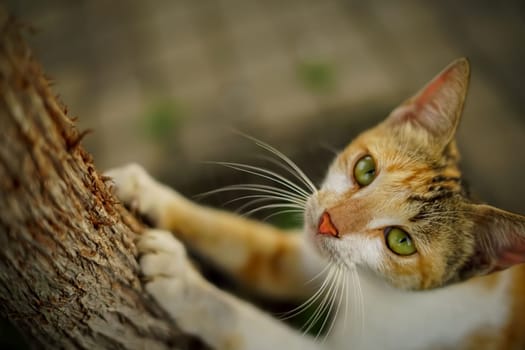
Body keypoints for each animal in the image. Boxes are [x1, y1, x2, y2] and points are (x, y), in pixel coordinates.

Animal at [105, 58, 524, 348]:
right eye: (365, 169)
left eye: (400, 241)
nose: (327, 222)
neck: (378, 292)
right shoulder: (306, 255)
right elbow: (249, 245)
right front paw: (145, 189)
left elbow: (246, 323)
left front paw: (183, 283)